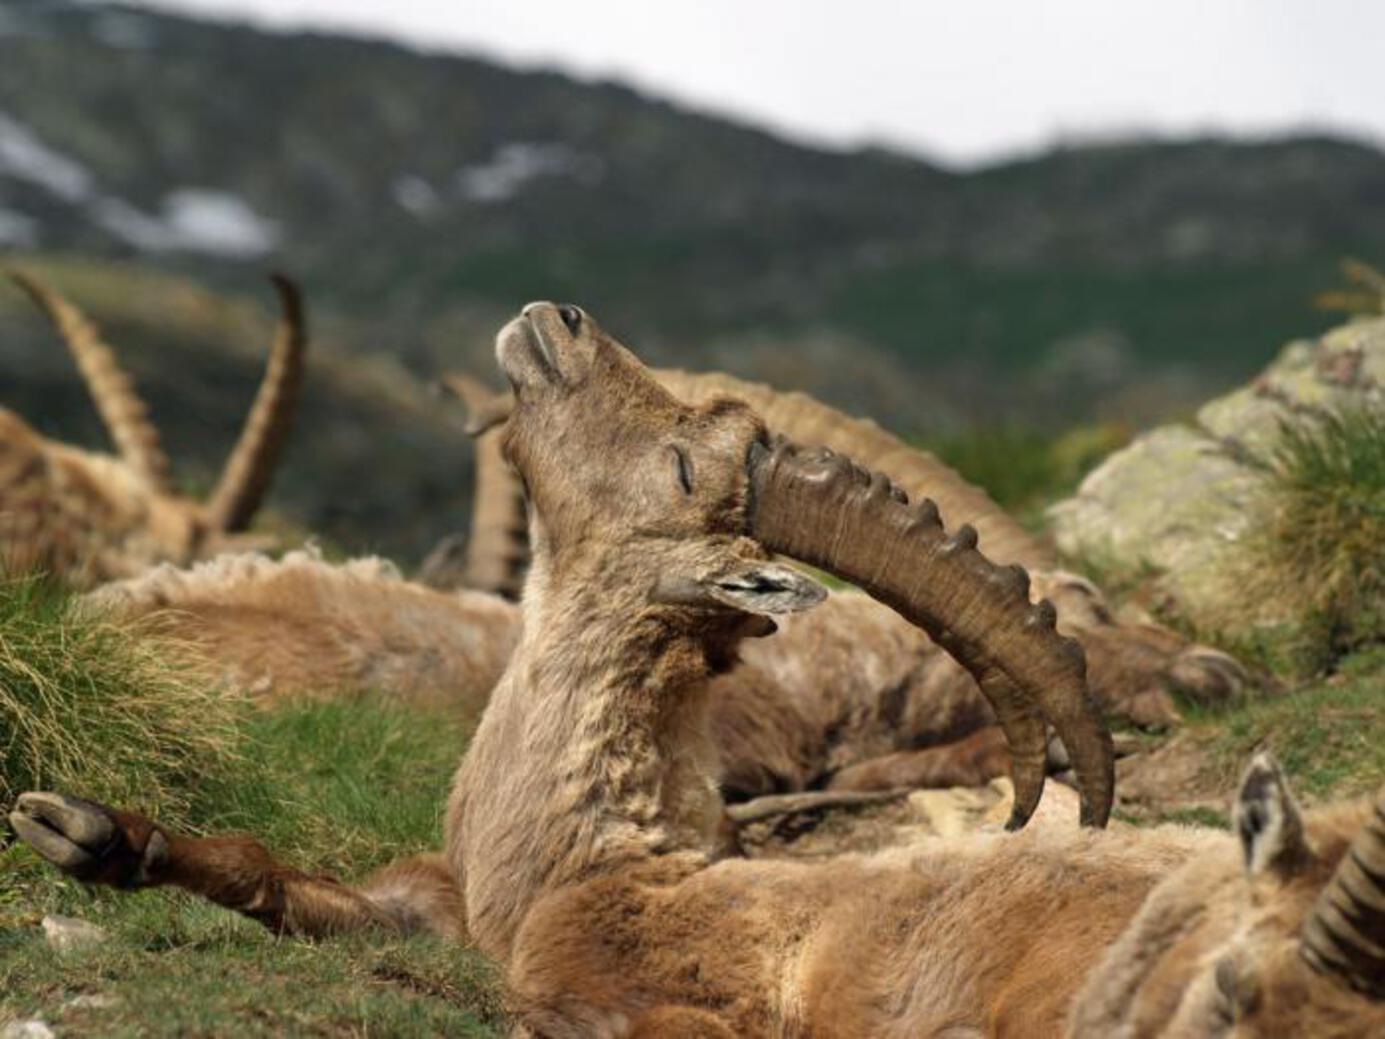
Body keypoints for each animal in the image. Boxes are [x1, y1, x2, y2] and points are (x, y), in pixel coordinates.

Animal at [11, 304, 1381, 1036]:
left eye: (682, 465)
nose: (559, 320)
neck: (570, 851)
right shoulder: (436, 902)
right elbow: (275, 872)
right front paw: (85, 826)